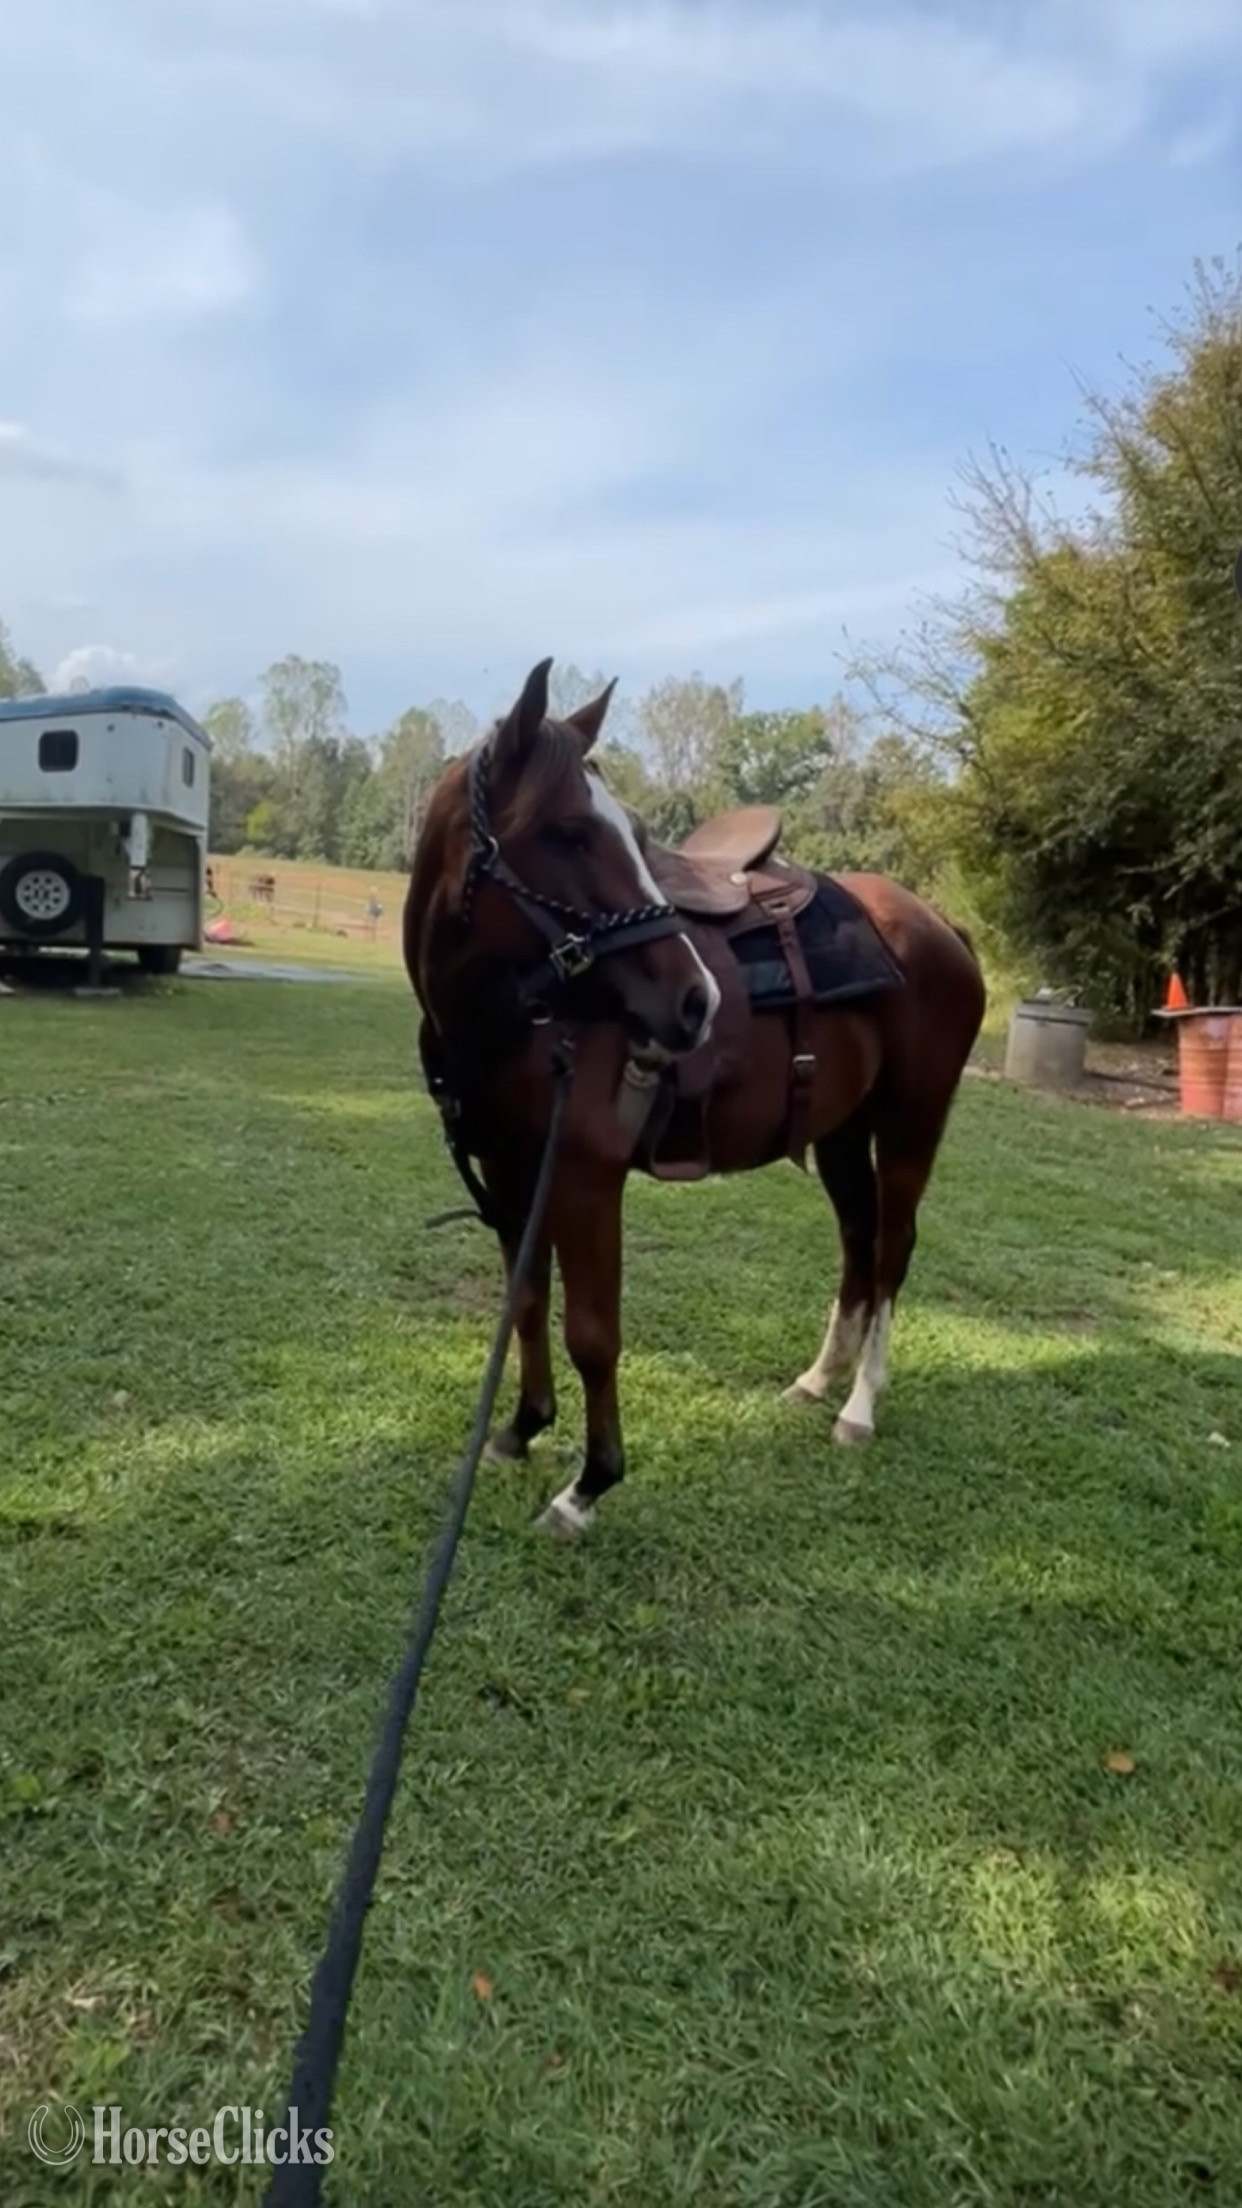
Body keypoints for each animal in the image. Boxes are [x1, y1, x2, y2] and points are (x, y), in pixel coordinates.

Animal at [404, 657, 986, 1539]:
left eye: (634, 833)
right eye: (569, 832)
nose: (695, 1001)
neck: (523, 1012)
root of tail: (942, 926)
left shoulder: (584, 1180)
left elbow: (592, 1333)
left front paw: (587, 1486)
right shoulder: (511, 1174)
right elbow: (527, 1301)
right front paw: (520, 1430)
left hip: (911, 1126)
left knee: (891, 1249)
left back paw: (859, 1407)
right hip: (843, 1134)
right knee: (858, 1240)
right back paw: (818, 1380)